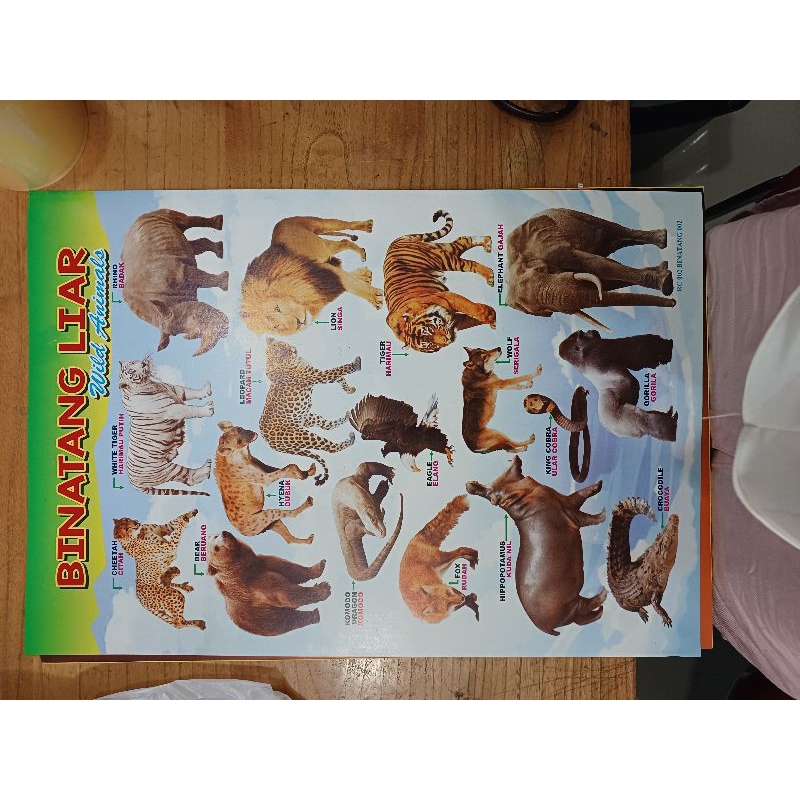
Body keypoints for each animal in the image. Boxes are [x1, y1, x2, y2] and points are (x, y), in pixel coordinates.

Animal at [121, 209, 230, 356]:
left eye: (196, 316)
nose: (223, 329)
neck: (170, 303)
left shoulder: (182, 272)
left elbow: (204, 278)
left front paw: (226, 283)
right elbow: (203, 279)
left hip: (154, 215)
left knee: (184, 221)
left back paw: (219, 224)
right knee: (190, 245)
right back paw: (220, 250)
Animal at [506, 208, 676, 330]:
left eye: (545, 271)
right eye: (546, 310)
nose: (673, 302)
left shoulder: (553, 250)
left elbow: (597, 264)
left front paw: (665, 284)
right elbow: (606, 280)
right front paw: (664, 281)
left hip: (572, 213)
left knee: (612, 229)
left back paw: (662, 239)